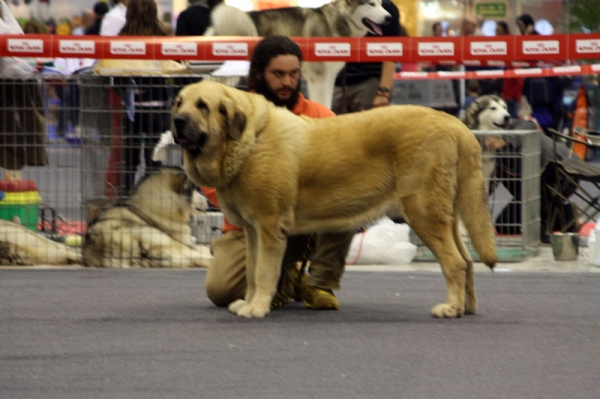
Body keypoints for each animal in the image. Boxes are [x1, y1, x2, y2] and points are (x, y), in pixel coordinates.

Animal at [170, 81, 496, 318]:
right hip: (444, 216)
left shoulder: (269, 228)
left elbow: (263, 271)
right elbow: (251, 271)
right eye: (178, 102)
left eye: (202, 105)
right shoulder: (252, 231)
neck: (247, 140)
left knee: (455, 263)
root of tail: (456, 125)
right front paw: (248, 302)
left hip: (423, 212)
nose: (177, 121)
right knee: (467, 262)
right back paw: (467, 307)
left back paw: (450, 309)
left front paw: (257, 308)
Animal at [206, 0, 394, 108]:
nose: (389, 17)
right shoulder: (319, 78)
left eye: (381, 3)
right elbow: (322, 101)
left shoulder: (329, 77)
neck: (339, 21)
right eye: (371, 4)